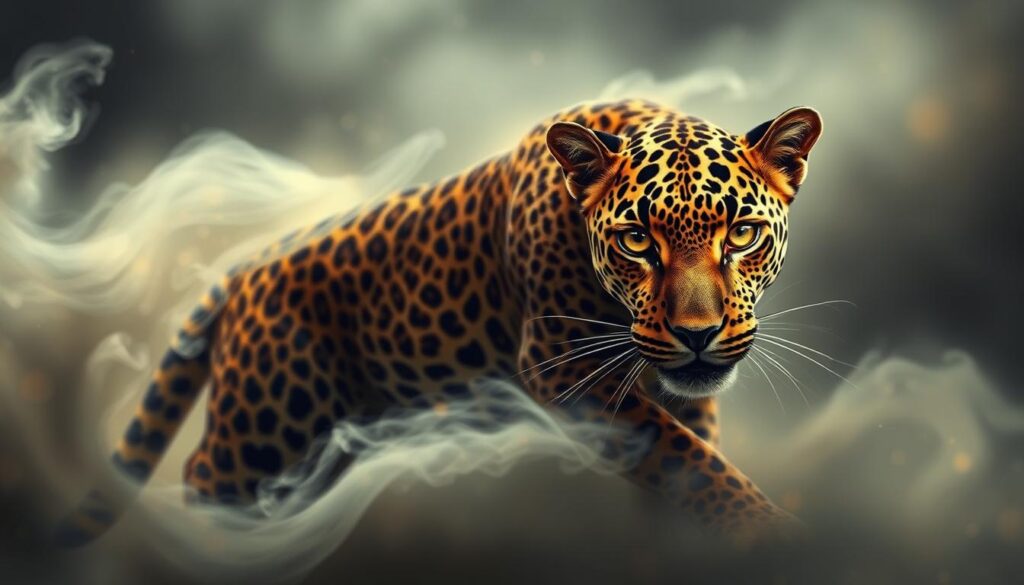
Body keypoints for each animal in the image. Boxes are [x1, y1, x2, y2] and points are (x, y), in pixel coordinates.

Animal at [57, 98, 823, 545]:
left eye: (743, 234)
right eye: (637, 241)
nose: (697, 334)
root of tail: (245, 267)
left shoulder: (677, 396)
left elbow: (694, 464)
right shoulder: (564, 374)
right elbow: (695, 465)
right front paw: (777, 533)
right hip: (268, 420)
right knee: (202, 478)